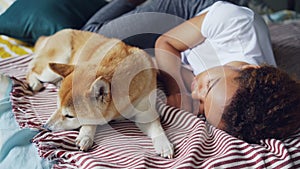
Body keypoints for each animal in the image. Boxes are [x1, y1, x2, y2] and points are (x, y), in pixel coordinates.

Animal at [27, 29, 176, 158]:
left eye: (69, 116)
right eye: (57, 107)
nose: (45, 127)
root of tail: (53, 34)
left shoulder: (145, 112)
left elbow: (157, 128)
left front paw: (164, 144)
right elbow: (91, 122)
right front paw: (86, 136)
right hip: (51, 69)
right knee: (32, 68)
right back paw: (34, 83)